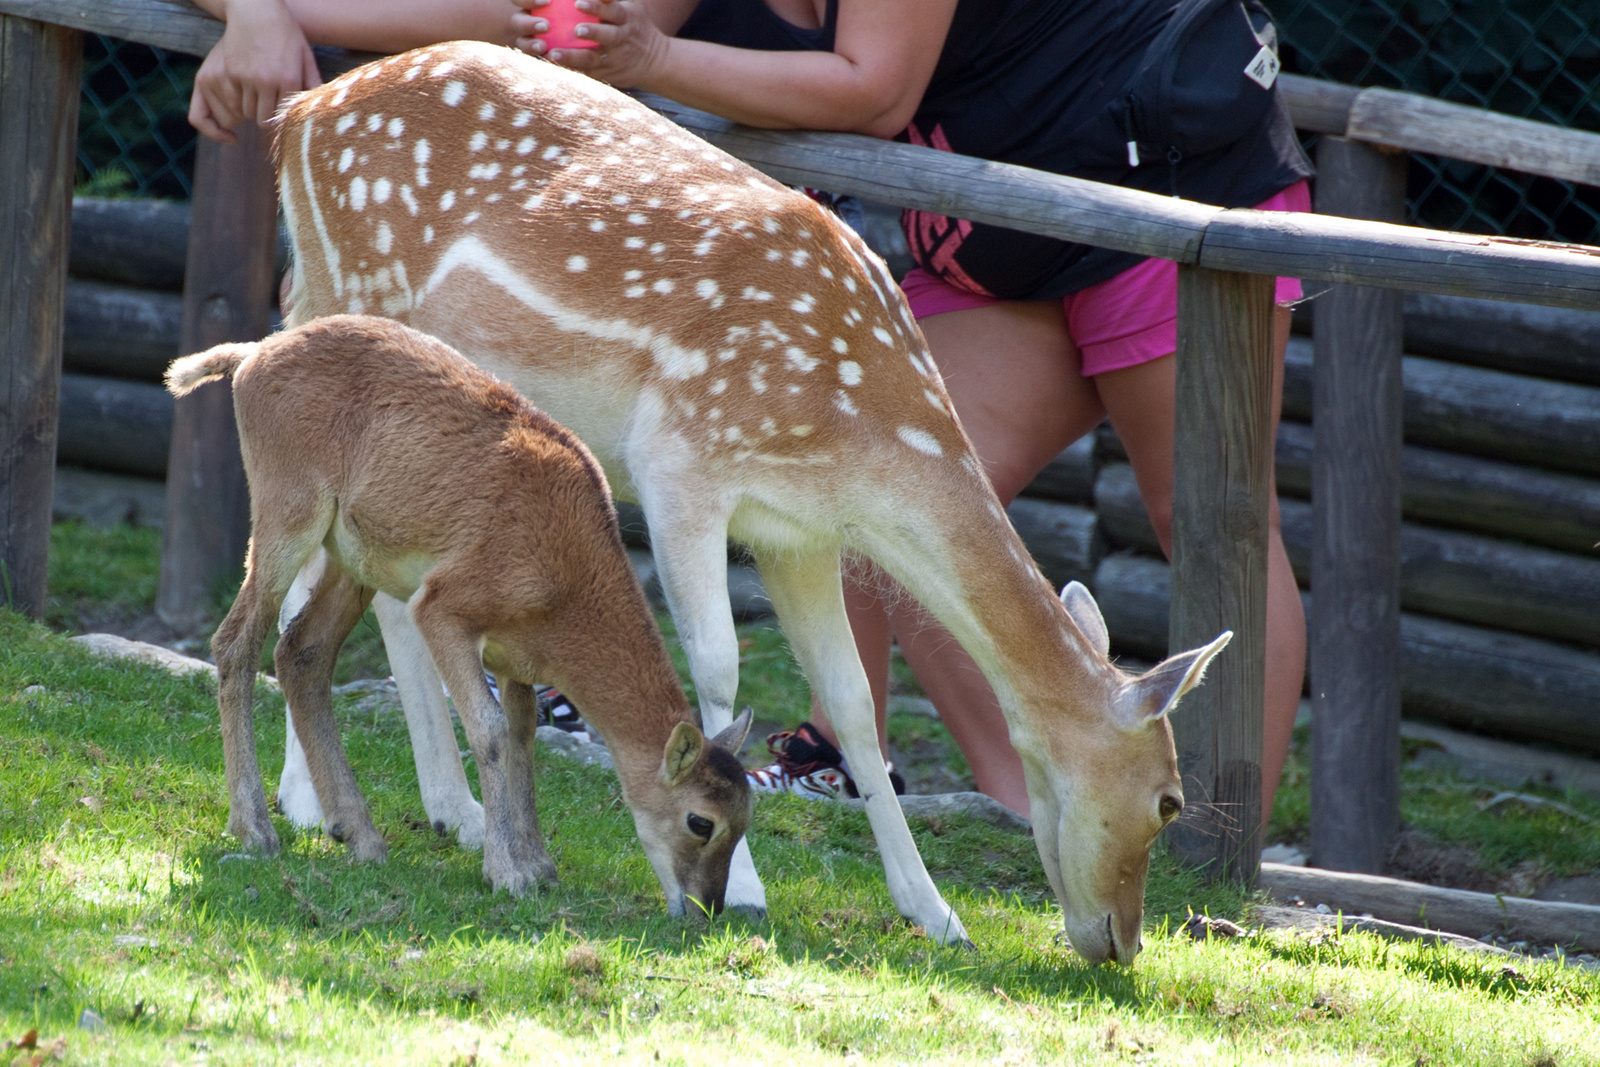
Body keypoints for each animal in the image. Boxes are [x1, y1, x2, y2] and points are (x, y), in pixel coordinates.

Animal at [165, 313, 752, 915]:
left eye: (746, 819)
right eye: (701, 821)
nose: (707, 906)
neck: (564, 583)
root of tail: (250, 357)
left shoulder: (516, 658)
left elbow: (523, 734)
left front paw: (540, 866)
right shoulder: (443, 607)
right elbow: (490, 729)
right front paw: (507, 872)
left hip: (352, 561)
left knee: (301, 652)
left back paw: (360, 835)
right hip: (287, 511)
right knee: (236, 641)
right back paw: (256, 830)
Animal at [275, 41, 1222, 966]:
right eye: (1171, 799)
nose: (1122, 942)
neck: (856, 436)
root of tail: (296, 116)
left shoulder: (800, 533)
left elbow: (853, 703)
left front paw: (936, 913)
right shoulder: (680, 462)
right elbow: (720, 666)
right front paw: (749, 890)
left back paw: (452, 811)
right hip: (349, 301)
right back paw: (310, 806)